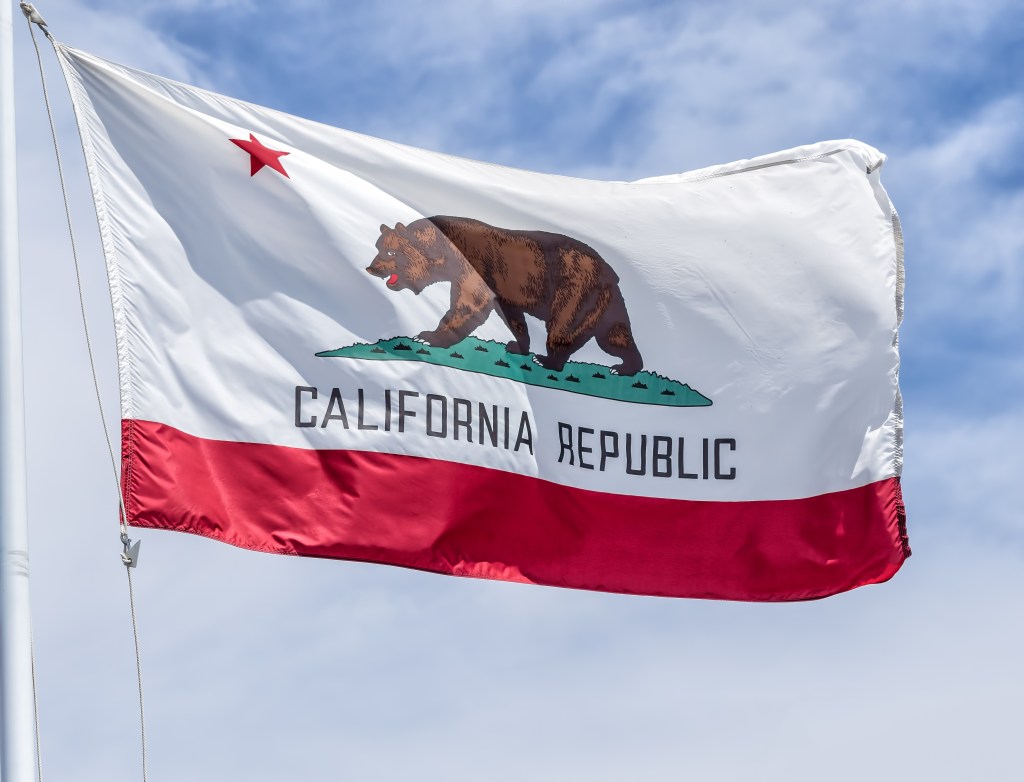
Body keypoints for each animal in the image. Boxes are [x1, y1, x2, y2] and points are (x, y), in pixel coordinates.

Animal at [366, 214, 638, 376]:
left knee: (564, 326)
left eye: (389, 252)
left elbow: (467, 304)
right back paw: (625, 366)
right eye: (378, 247)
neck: (443, 253)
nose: (371, 268)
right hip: (605, 305)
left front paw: (427, 336)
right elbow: (513, 317)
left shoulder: (472, 267)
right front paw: (517, 345)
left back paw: (548, 361)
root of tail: (611, 274)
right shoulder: (504, 292)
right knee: (614, 336)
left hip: (575, 289)